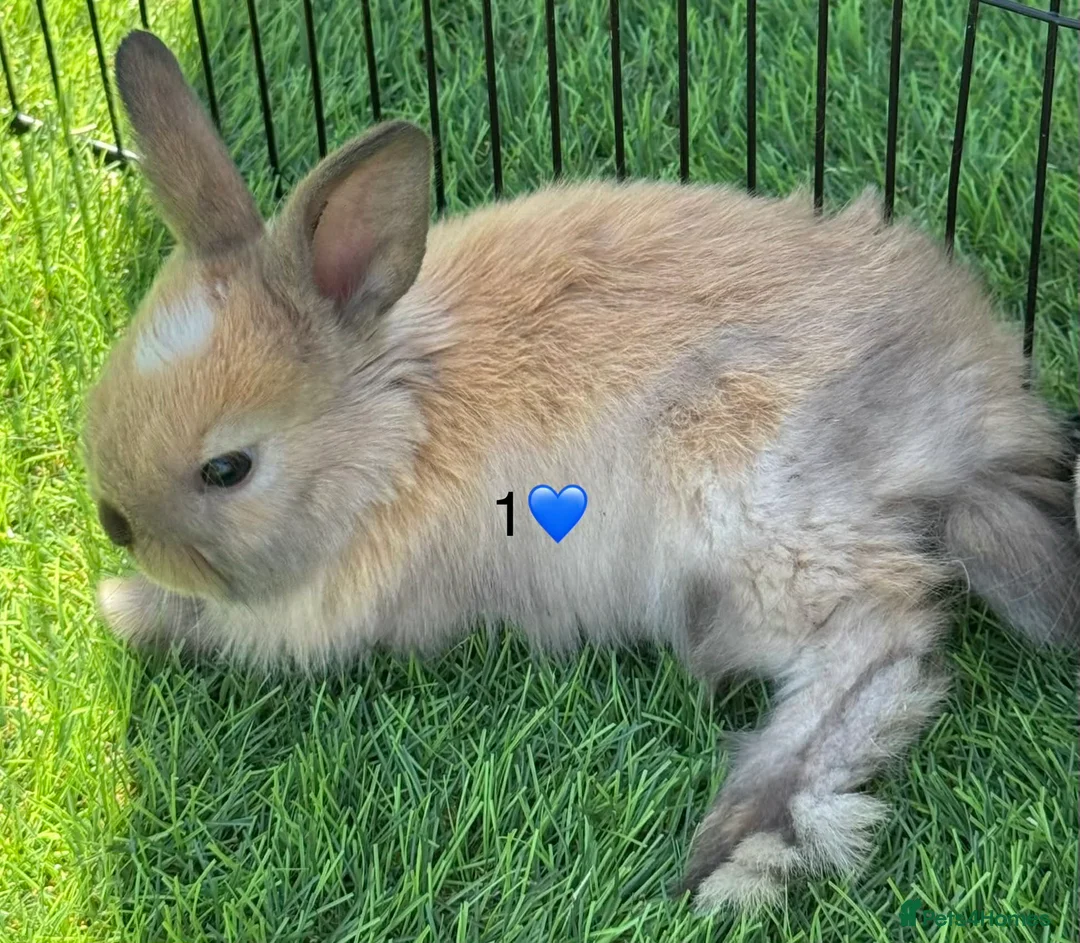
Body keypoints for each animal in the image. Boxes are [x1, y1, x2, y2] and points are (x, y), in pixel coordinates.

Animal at [85, 30, 1080, 914]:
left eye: (228, 468)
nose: (113, 525)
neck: (396, 432)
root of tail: (975, 413)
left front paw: (123, 606)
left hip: (749, 522)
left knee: (883, 634)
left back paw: (741, 838)